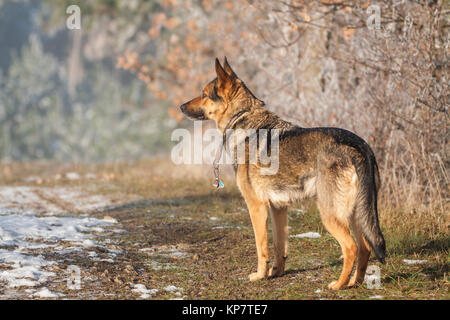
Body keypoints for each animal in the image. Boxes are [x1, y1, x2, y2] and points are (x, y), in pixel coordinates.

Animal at [181, 57, 384, 290]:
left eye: (204, 94)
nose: (181, 106)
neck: (242, 117)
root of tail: (360, 146)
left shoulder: (256, 207)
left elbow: (261, 247)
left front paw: (260, 275)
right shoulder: (278, 209)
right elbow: (279, 245)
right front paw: (276, 272)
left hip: (330, 213)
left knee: (351, 247)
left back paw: (339, 284)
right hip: (355, 213)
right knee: (365, 247)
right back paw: (354, 283)